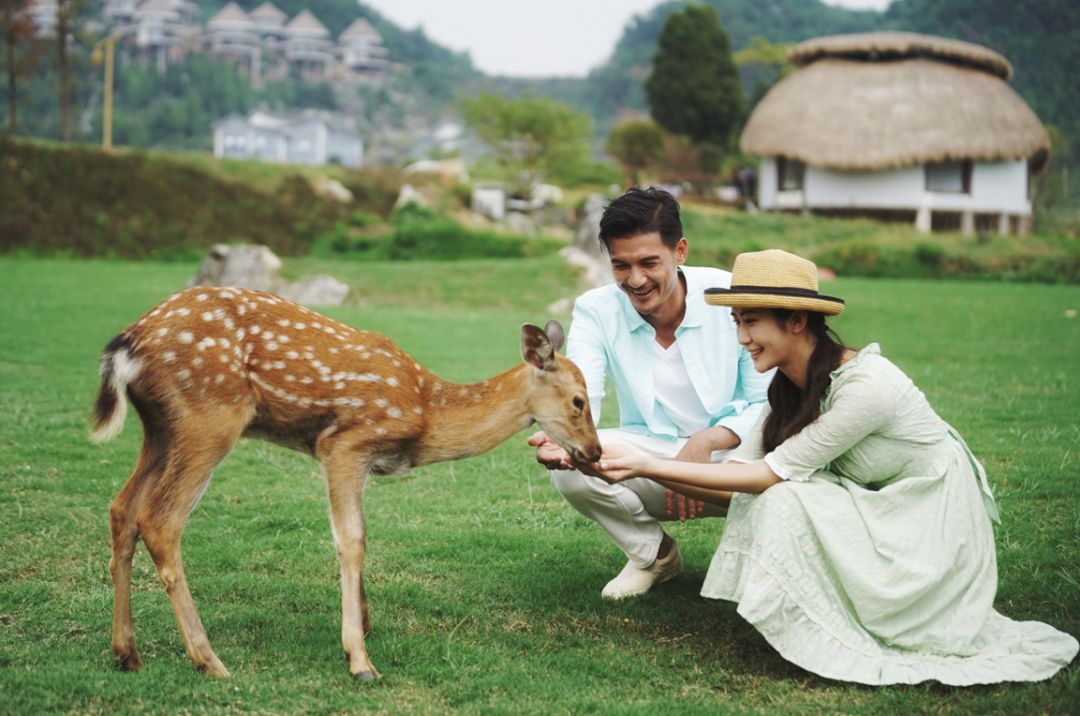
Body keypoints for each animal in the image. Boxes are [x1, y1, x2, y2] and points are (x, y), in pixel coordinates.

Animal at [90, 286, 602, 681]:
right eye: (579, 401)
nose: (595, 452)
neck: (425, 412)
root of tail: (127, 344)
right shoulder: (344, 444)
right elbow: (351, 539)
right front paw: (359, 659)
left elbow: (361, 535)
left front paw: (365, 624)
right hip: (208, 417)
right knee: (160, 520)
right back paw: (209, 660)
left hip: (161, 428)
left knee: (122, 509)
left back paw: (126, 653)